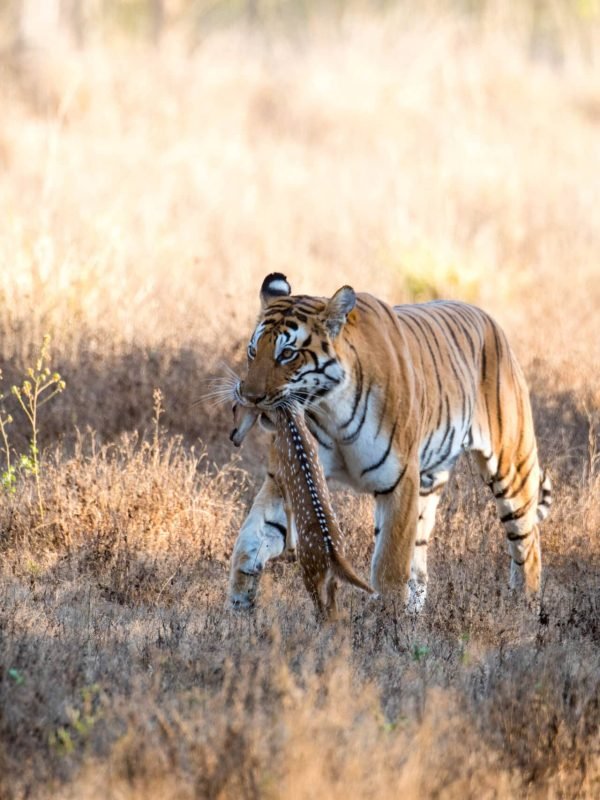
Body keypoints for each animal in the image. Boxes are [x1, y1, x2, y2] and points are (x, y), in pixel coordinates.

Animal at [228, 272, 552, 612]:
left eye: (287, 354)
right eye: (253, 351)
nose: (249, 396)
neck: (330, 408)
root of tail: (489, 319)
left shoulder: (399, 481)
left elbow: (389, 567)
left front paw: (386, 622)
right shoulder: (293, 475)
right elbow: (252, 537)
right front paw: (238, 606)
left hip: (512, 468)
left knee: (528, 545)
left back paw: (525, 609)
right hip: (430, 481)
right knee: (421, 563)